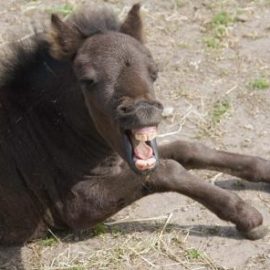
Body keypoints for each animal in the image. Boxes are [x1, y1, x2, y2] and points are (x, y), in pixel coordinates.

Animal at [0, 4, 270, 245]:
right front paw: (247, 217)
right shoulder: (75, 207)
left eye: (154, 72)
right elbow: (168, 170)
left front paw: (264, 169)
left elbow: (187, 149)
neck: (44, 131)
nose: (144, 110)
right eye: (87, 80)